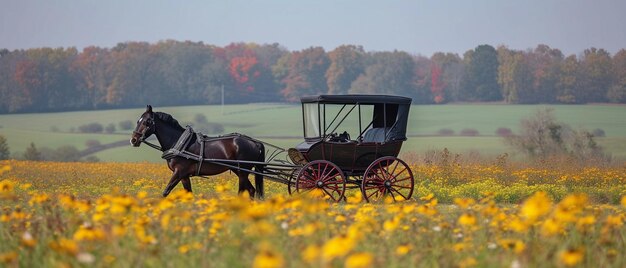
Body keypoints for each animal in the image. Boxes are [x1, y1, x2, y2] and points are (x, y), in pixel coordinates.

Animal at [129, 105, 266, 199]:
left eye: (146, 122)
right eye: (138, 121)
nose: (133, 140)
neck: (178, 143)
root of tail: (255, 143)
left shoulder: (179, 172)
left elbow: (165, 192)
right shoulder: (184, 176)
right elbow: (188, 193)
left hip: (242, 171)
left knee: (243, 191)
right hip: (239, 170)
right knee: (252, 190)